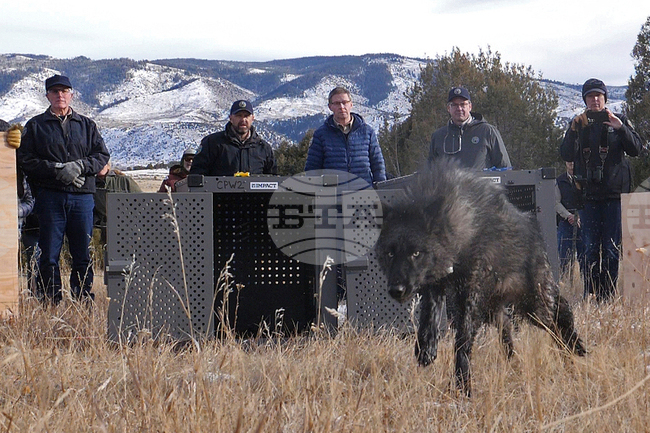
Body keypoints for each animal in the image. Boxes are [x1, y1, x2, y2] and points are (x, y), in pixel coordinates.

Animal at [375, 160, 586, 396]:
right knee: (509, 332)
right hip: (498, 311)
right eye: (390, 253)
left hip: (534, 306)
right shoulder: (435, 286)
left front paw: (462, 385)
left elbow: (462, 340)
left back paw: (574, 349)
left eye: (416, 253)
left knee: (560, 317)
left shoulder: (470, 295)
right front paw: (426, 349)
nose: (396, 290)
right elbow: (429, 318)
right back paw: (514, 364)